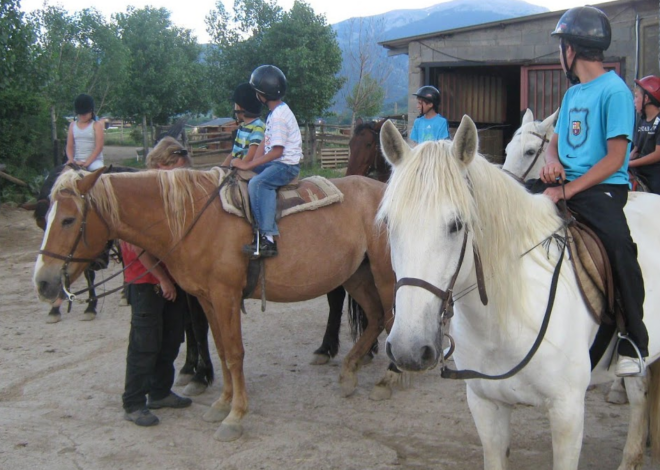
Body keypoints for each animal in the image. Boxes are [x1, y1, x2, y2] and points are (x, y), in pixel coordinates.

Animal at [33, 168, 394, 440]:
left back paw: (387, 380)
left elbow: (234, 354)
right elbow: (220, 351)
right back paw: (349, 372)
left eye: (68, 220)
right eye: (45, 218)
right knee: (376, 318)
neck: (192, 218)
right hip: (356, 275)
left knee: (391, 321)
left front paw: (235, 417)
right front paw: (221, 404)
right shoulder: (206, 297)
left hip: (385, 274)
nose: (43, 282)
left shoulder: (225, 296)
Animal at [376, 114, 660, 470]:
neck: (505, 318)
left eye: (457, 224)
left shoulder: (568, 413)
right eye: (390, 223)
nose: (408, 349)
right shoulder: (486, 407)